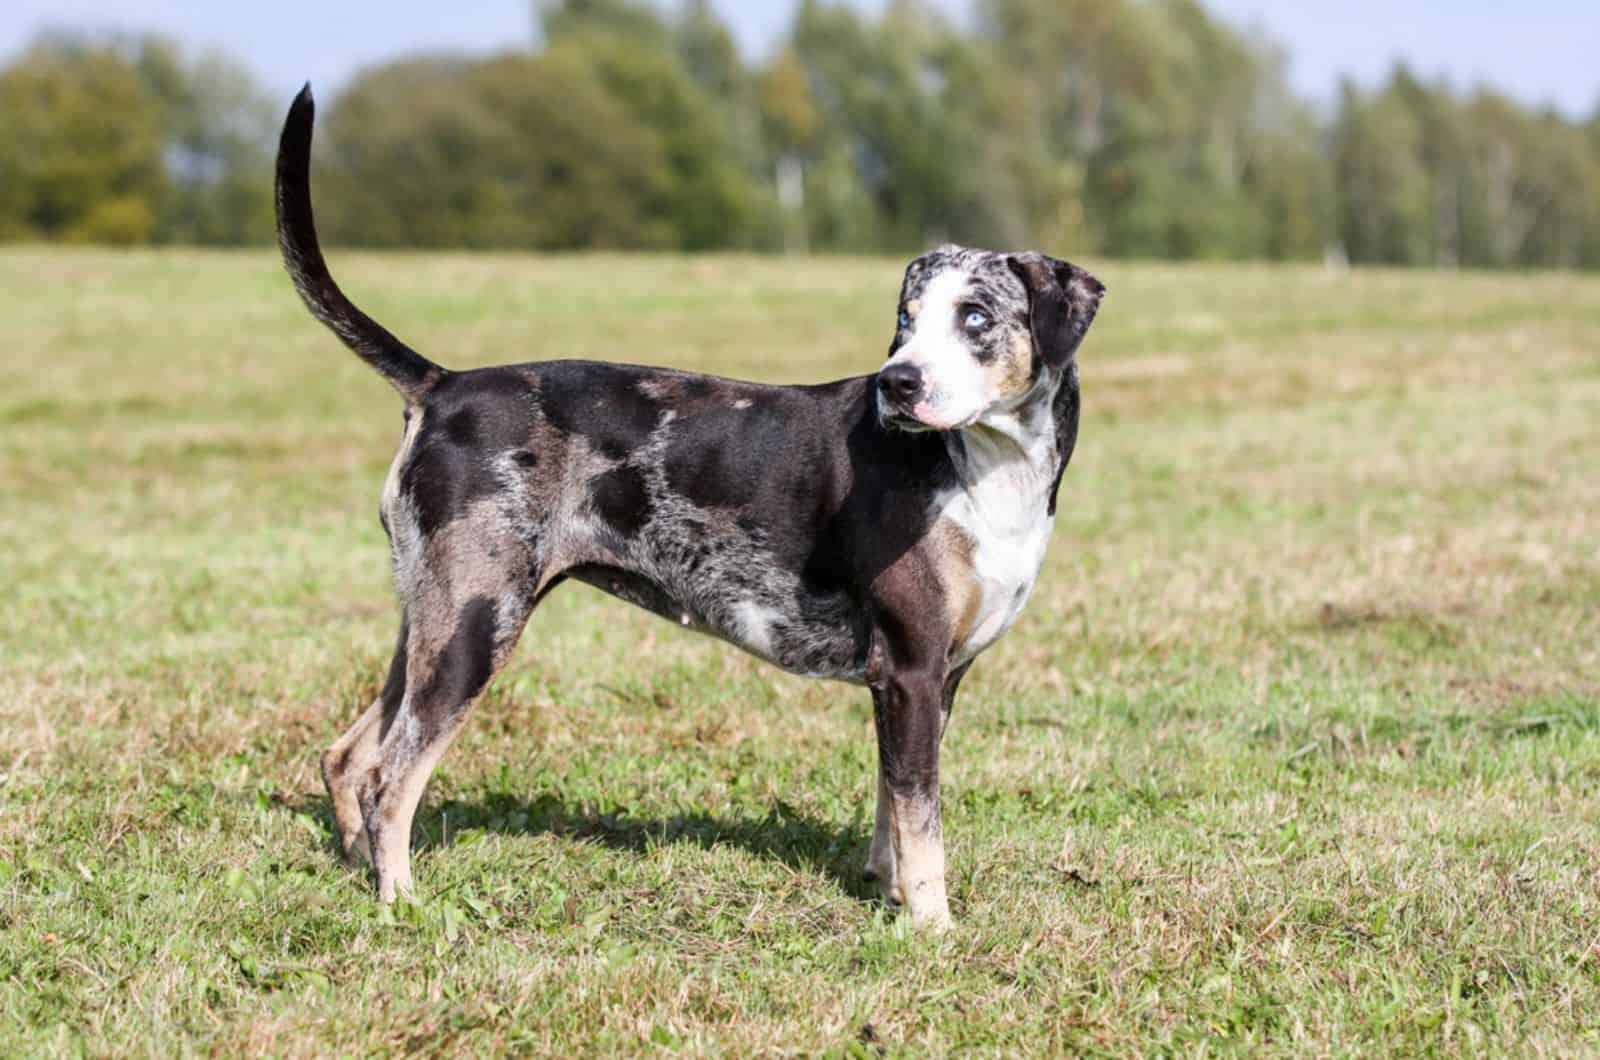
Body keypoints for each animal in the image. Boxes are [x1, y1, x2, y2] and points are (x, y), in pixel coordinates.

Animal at [275, 85, 1100, 928]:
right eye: (906, 320)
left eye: (976, 317)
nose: (897, 382)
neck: (981, 469)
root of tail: (442, 385)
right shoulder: (910, 669)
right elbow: (920, 816)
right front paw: (932, 926)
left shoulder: (927, 680)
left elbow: (891, 805)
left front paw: (889, 889)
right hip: (476, 627)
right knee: (390, 777)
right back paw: (402, 900)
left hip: (431, 622)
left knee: (347, 757)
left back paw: (359, 872)